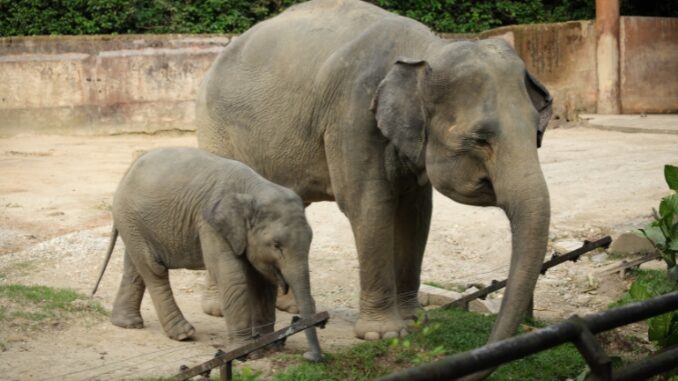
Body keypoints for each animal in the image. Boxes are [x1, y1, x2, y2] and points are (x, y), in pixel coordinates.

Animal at [93, 146, 324, 360]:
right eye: (276, 245)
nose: (310, 357)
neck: (254, 188)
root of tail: (127, 172)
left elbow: (264, 282)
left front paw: (266, 346)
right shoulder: (210, 225)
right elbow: (232, 277)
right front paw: (244, 352)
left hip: (134, 223)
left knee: (135, 267)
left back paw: (127, 323)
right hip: (130, 217)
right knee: (153, 269)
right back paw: (183, 334)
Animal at [195, 0, 552, 348]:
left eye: (538, 132)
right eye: (480, 139)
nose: (491, 342)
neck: (427, 50)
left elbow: (416, 214)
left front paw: (415, 321)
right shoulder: (352, 116)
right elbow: (369, 206)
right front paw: (383, 334)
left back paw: (291, 307)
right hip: (215, 128)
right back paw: (217, 310)